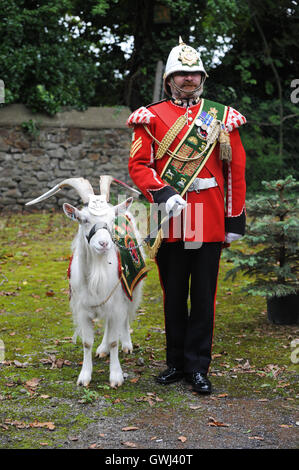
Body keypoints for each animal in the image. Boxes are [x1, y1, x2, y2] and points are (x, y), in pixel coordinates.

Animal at [26, 174, 146, 388]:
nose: (104, 243)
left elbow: (114, 337)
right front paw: (84, 376)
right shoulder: (83, 309)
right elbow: (87, 342)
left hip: (132, 287)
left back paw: (126, 344)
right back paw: (102, 349)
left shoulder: (116, 302)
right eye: (84, 219)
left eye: (111, 219)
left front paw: (116, 377)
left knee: (126, 316)